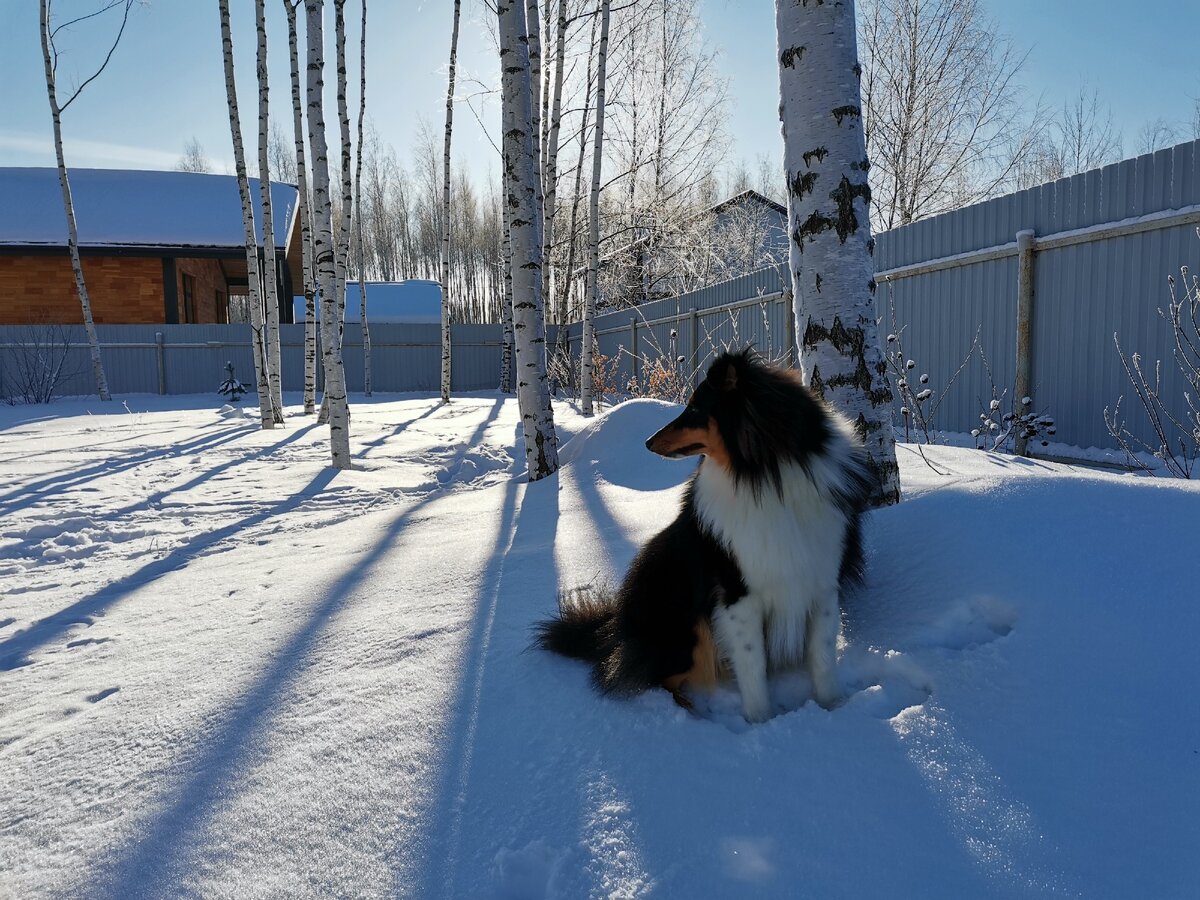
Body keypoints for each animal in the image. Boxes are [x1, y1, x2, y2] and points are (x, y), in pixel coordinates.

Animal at [537, 348, 873, 724]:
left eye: (697, 409)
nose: (648, 442)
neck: (766, 475)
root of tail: (614, 629)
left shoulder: (822, 580)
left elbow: (823, 657)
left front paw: (832, 708)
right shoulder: (737, 590)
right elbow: (752, 664)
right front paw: (761, 722)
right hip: (684, 616)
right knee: (661, 679)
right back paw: (694, 716)